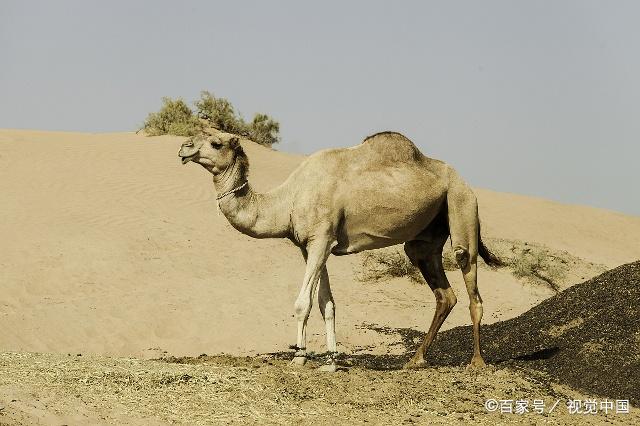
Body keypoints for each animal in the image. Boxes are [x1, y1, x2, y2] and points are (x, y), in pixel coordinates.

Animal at [178, 127, 502, 372]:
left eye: (216, 142)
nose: (183, 147)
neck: (288, 200)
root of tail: (465, 181)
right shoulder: (311, 246)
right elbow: (327, 304)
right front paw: (330, 362)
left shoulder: (321, 238)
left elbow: (303, 303)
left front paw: (298, 358)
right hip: (425, 240)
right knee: (443, 292)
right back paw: (416, 360)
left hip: (462, 204)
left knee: (468, 272)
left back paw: (476, 362)